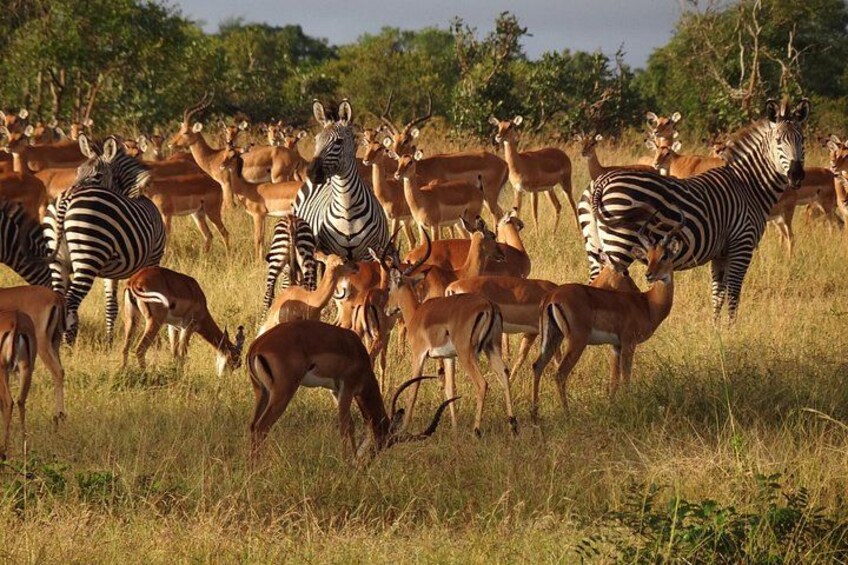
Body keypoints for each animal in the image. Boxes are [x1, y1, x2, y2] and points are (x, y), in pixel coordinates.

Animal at [46, 136, 165, 344]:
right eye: (78, 172)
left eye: (98, 175)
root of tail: (67, 198)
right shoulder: (153, 258)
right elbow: (145, 300)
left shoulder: (112, 272)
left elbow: (111, 305)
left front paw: (109, 341)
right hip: (88, 254)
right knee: (71, 300)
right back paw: (68, 343)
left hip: (59, 260)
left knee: (60, 297)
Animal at [292, 99, 389, 261]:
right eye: (316, 140)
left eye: (338, 142)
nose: (311, 173)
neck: (347, 208)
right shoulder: (330, 253)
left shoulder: (368, 255)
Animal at [582, 98, 809, 321]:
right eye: (778, 141)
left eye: (803, 140)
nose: (796, 175)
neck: (749, 186)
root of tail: (600, 182)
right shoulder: (742, 244)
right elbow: (733, 295)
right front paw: (732, 328)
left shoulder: (721, 252)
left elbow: (718, 294)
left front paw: (716, 328)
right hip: (618, 246)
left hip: (594, 245)